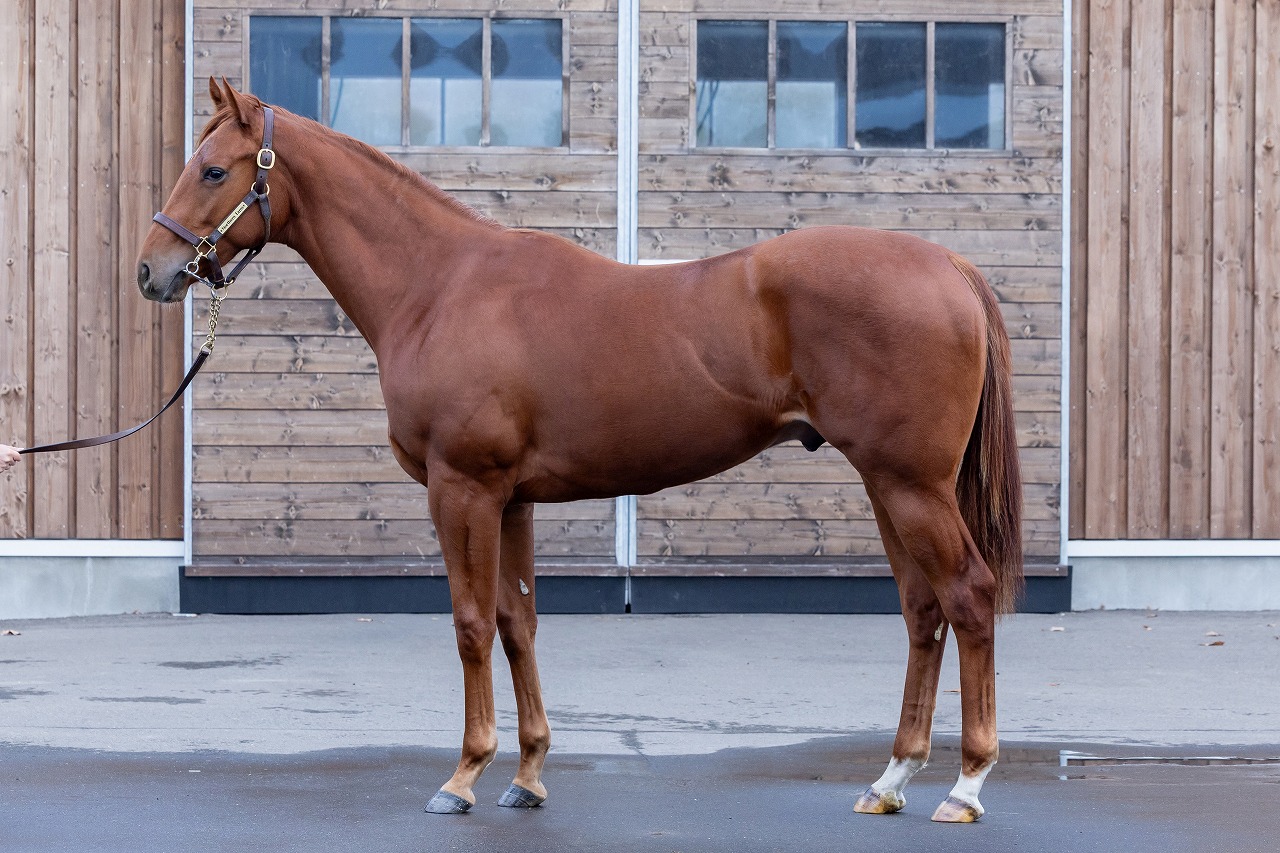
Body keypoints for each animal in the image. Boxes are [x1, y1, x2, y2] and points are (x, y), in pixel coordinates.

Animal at [138, 78, 1023, 823]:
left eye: (213, 169)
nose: (154, 270)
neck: (441, 285)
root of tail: (947, 263)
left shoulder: (462, 489)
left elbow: (470, 623)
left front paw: (464, 774)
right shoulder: (512, 497)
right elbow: (517, 621)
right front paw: (528, 773)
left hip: (911, 484)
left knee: (969, 596)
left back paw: (967, 786)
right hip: (886, 485)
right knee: (923, 610)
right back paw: (891, 779)